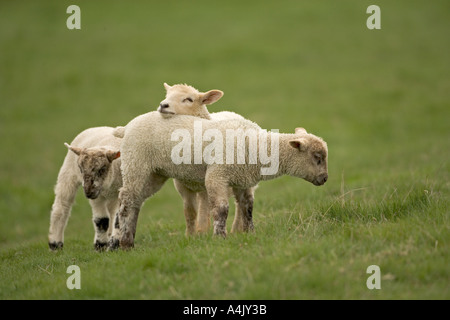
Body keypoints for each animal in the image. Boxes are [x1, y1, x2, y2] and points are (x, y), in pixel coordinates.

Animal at [108, 112, 326, 250]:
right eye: (317, 157)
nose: (325, 179)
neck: (256, 146)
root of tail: (126, 127)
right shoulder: (217, 175)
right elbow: (221, 209)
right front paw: (220, 237)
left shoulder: (242, 180)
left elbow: (247, 207)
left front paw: (250, 233)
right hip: (136, 163)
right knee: (126, 201)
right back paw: (125, 242)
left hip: (155, 173)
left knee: (136, 201)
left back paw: (129, 241)